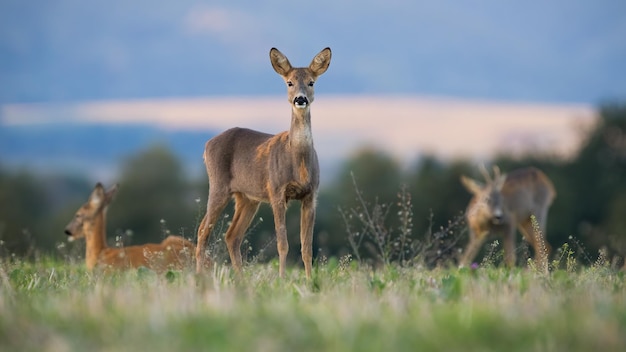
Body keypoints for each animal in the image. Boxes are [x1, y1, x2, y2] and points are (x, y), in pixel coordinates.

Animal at [196, 46, 332, 280]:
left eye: (311, 82)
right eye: (289, 82)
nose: (300, 99)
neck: (298, 162)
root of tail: (207, 145)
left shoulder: (311, 195)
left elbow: (307, 246)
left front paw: (309, 280)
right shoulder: (277, 191)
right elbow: (282, 243)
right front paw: (282, 279)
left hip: (247, 198)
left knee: (231, 235)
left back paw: (241, 279)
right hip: (218, 186)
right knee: (203, 230)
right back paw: (198, 277)